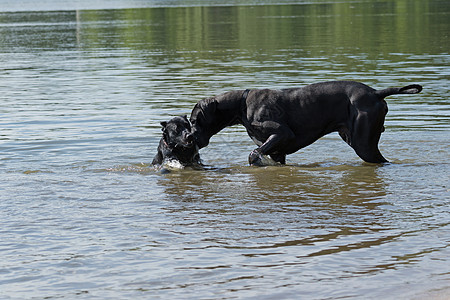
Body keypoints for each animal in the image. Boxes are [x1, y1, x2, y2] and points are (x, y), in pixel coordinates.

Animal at [189, 81, 422, 165]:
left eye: (193, 120)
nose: (190, 137)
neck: (241, 104)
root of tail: (375, 93)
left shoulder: (281, 134)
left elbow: (254, 154)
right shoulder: (277, 151)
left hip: (364, 145)